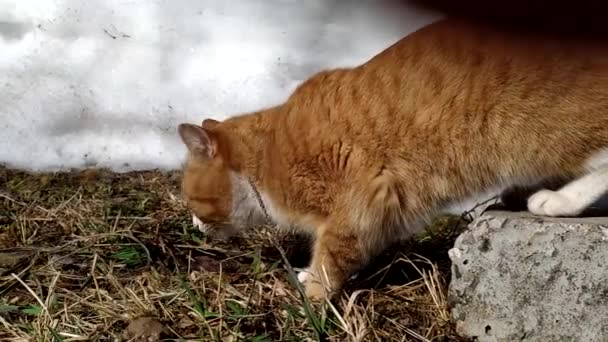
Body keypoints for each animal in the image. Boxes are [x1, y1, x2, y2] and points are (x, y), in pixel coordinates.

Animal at [176, 17, 608, 300]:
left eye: (191, 199)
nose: (194, 225)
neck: (267, 156)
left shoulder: (360, 198)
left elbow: (333, 253)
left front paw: (312, 294)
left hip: (539, 133)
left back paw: (558, 199)